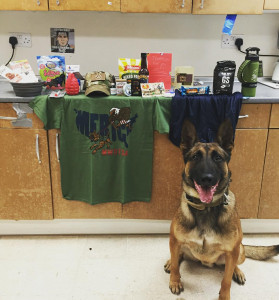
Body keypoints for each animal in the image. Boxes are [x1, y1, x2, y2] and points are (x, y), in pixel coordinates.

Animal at [165, 119, 279, 300]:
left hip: (239, 250)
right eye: (195, 157)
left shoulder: (232, 251)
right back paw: (170, 261)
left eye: (218, 158)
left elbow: (226, 280)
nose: (207, 179)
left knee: (234, 264)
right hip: (177, 243)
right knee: (178, 255)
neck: (206, 208)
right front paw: (175, 281)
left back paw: (237, 272)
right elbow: (177, 265)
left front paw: (224, 295)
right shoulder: (175, 240)